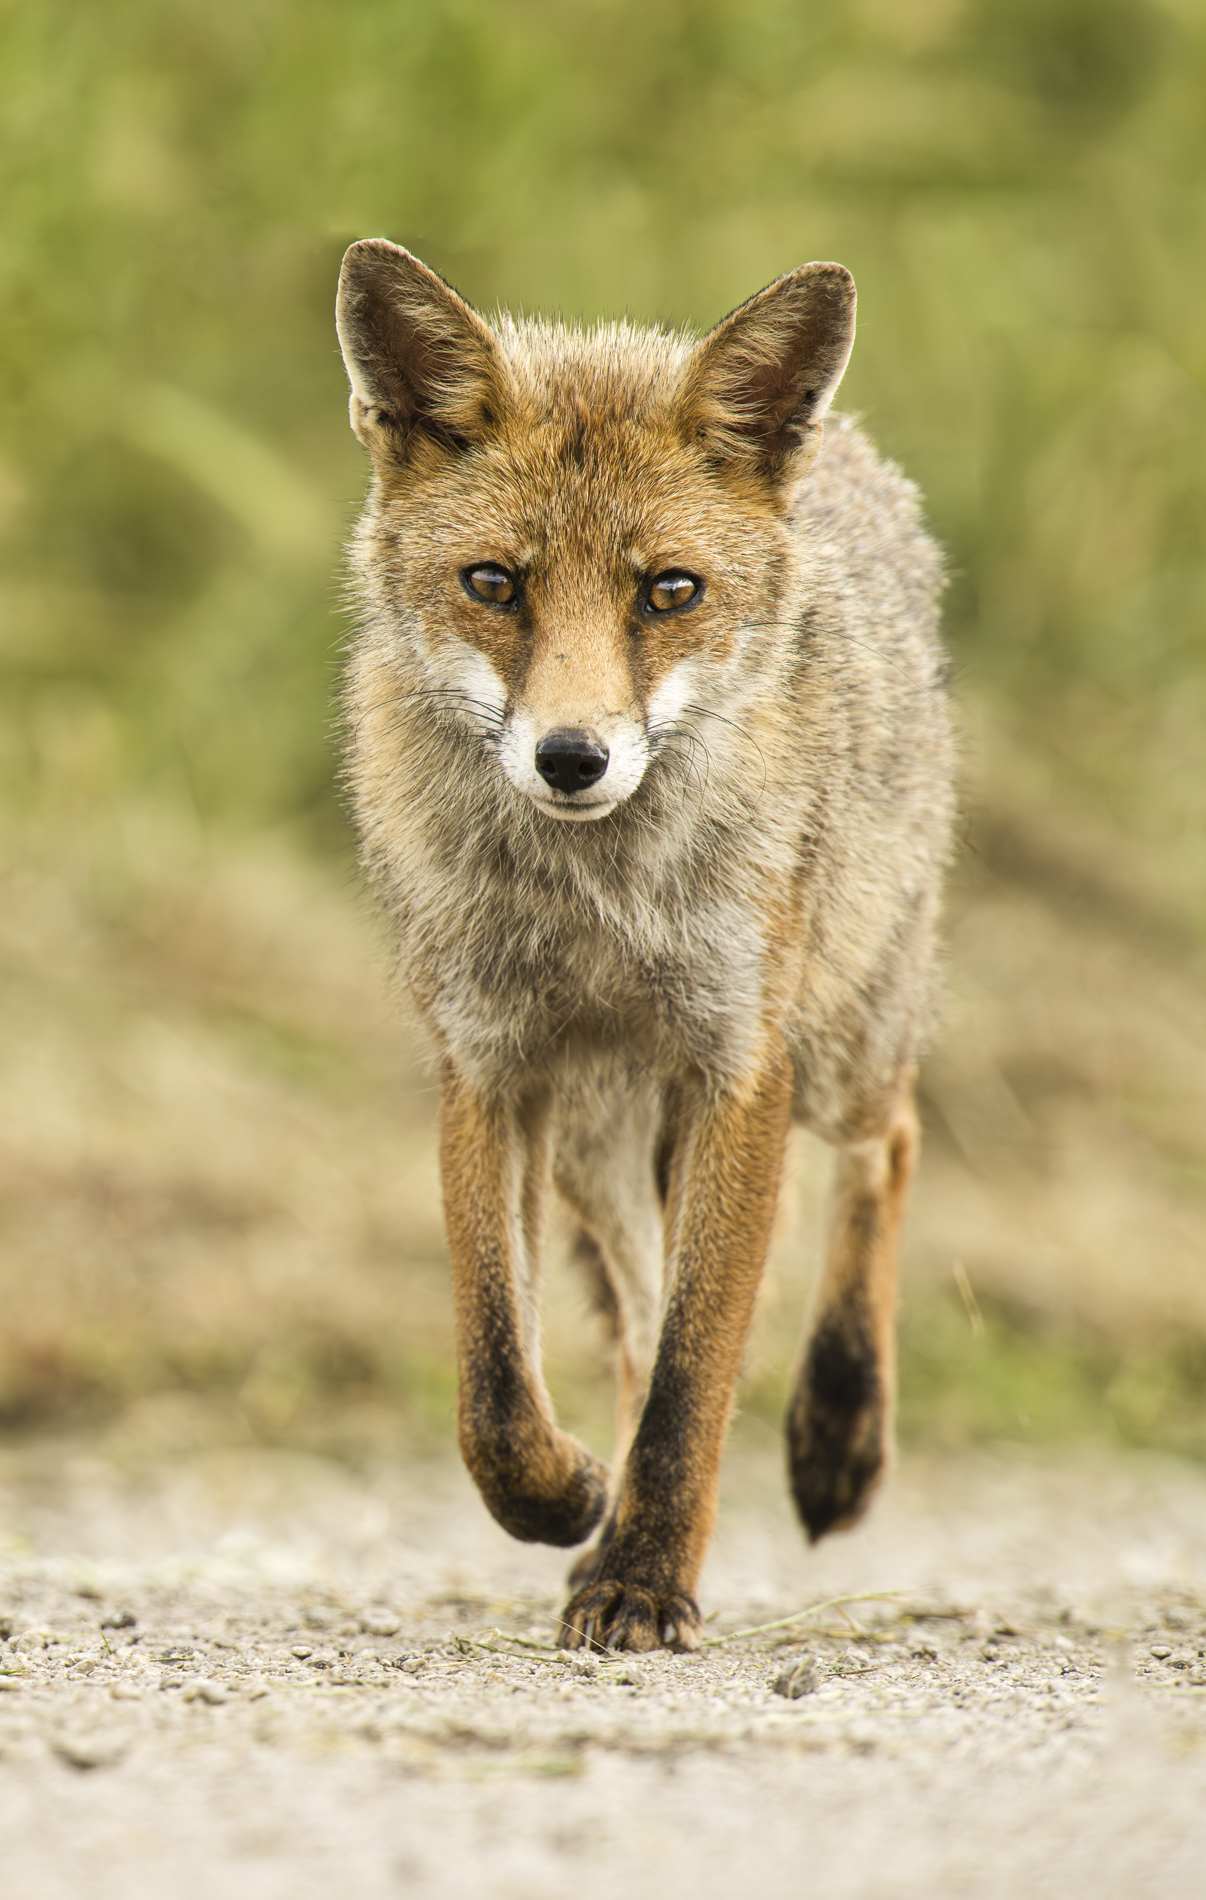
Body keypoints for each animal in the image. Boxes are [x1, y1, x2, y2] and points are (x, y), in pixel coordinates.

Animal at [335, 239, 953, 1652]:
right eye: (494, 584)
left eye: (669, 591)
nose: (573, 757)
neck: (595, 914)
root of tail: (850, 454)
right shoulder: (492, 1068)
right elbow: (498, 1382)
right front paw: (569, 1501)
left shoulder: (740, 1068)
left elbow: (695, 1372)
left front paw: (644, 1578)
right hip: (602, 1141)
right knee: (626, 1317)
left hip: (840, 1044)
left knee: (888, 1145)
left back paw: (839, 1432)